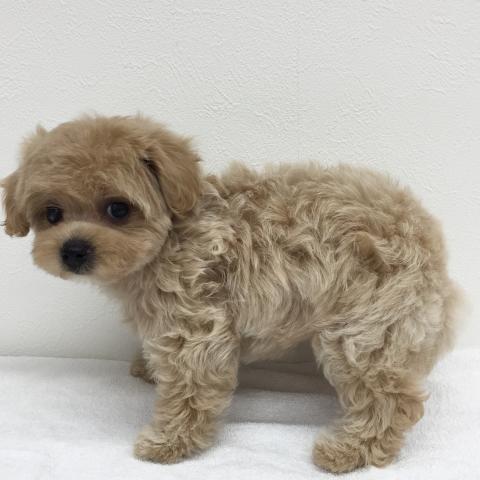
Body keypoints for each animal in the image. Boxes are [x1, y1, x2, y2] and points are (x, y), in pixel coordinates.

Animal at [1, 115, 462, 473]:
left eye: (118, 209)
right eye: (52, 214)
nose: (74, 250)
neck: (171, 237)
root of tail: (427, 237)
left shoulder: (195, 327)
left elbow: (191, 388)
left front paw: (168, 443)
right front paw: (147, 368)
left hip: (365, 326)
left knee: (393, 399)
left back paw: (350, 450)